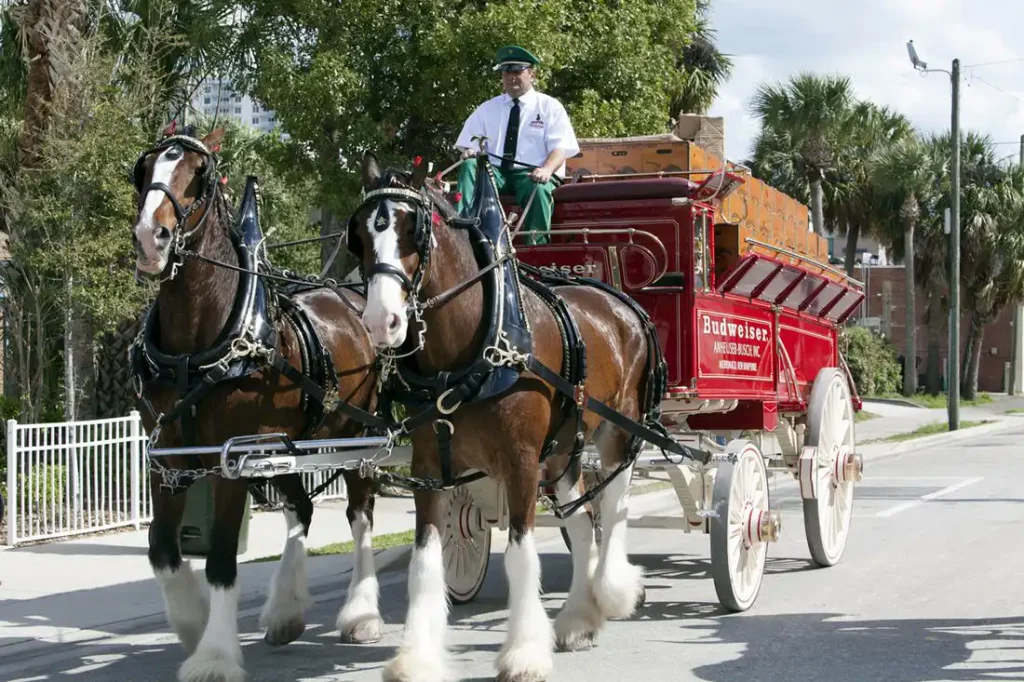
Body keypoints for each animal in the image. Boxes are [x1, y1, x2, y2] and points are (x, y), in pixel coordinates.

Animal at [128, 127, 385, 679]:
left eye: (197, 176)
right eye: (144, 170)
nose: (149, 237)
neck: (194, 348)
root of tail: (350, 296)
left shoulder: (232, 460)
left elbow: (222, 557)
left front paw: (215, 655)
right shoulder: (169, 459)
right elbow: (162, 550)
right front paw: (193, 625)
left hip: (358, 437)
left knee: (360, 515)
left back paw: (361, 614)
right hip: (282, 445)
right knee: (302, 508)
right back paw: (286, 611)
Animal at [346, 150, 663, 679]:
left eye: (413, 229)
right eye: (361, 235)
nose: (379, 322)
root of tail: (620, 300)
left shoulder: (520, 461)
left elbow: (521, 555)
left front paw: (524, 652)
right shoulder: (429, 466)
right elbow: (424, 561)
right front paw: (416, 657)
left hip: (618, 428)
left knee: (614, 505)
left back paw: (613, 590)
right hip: (564, 447)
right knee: (582, 521)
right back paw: (578, 618)